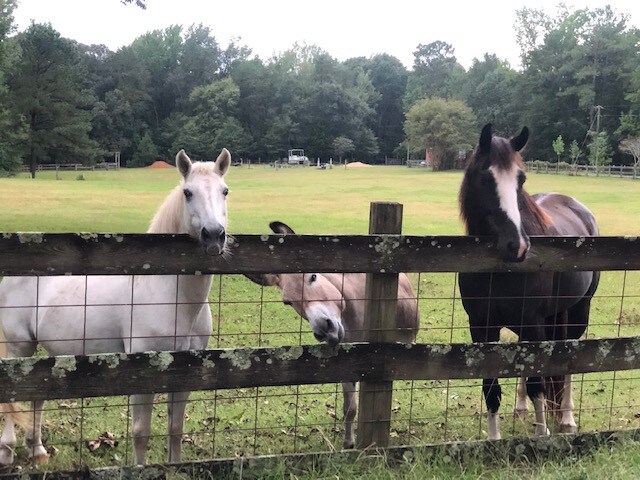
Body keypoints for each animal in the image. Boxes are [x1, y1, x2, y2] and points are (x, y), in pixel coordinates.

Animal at [0, 149, 230, 464]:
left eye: (225, 191)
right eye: (188, 192)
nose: (214, 235)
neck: (169, 293)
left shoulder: (185, 371)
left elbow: (175, 428)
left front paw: (173, 467)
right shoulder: (144, 369)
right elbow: (141, 432)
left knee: (37, 395)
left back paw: (37, 450)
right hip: (19, 348)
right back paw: (7, 451)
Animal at [246, 221, 420, 450]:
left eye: (313, 276)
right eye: (288, 302)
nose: (324, 329)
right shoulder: (349, 359)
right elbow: (349, 408)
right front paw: (349, 442)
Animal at [460, 125, 600, 440]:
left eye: (521, 179)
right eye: (485, 177)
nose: (518, 246)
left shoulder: (533, 322)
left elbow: (539, 384)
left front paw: (541, 434)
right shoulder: (481, 326)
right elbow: (491, 388)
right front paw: (494, 439)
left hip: (578, 312)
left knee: (569, 362)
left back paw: (567, 419)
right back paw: (522, 408)